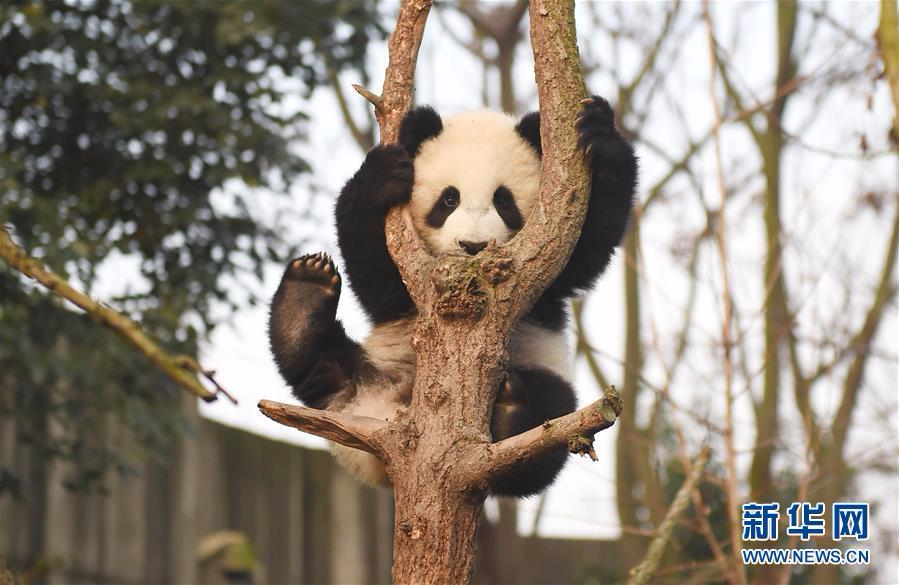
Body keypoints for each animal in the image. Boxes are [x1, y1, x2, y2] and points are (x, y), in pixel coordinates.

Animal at [270, 93, 636, 496]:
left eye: (503, 201)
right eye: (448, 200)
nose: (472, 246)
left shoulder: (546, 276)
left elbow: (587, 248)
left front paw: (600, 134)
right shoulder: (408, 283)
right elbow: (377, 281)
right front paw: (382, 177)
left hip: (544, 377)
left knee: (548, 423)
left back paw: (512, 412)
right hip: (368, 370)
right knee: (320, 369)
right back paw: (303, 299)